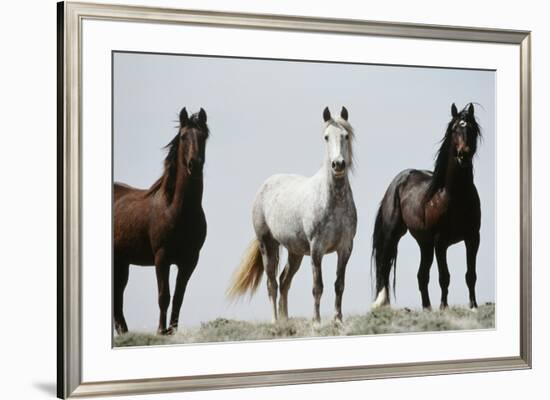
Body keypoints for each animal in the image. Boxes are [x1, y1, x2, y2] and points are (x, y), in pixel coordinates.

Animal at [113, 106, 210, 334]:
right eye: (183, 136)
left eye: (203, 136)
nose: (195, 165)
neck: (176, 210)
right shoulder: (162, 257)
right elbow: (164, 296)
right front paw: (160, 331)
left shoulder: (190, 261)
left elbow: (178, 298)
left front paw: (172, 331)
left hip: (122, 262)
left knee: (118, 298)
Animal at [227, 105, 358, 322]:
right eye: (326, 137)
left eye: (346, 135)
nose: (338, 164)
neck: (333, 201)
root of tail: (265, 186)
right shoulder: (317, 249)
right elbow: (317, 287)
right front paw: (316, 321)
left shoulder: (345, 248)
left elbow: (339, 285)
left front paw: (338, 320)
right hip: (267, 245)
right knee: (272, 283)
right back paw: (275, 321)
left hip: (295, 252)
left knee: (284, 280)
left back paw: (285, 320)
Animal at [370, 102, 484, 310]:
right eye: (454, 129)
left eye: (472, 128)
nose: (463, 155)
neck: (454, 196)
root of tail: (397, 181)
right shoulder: (441, 242)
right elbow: (444, 277)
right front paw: (444, 307)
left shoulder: (473, 238)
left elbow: (470, 275)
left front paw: (473, 306)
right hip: (394, 235)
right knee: (384, 266)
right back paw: (382, 303)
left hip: (425, 243)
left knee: (421, 276)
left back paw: (427, 308)